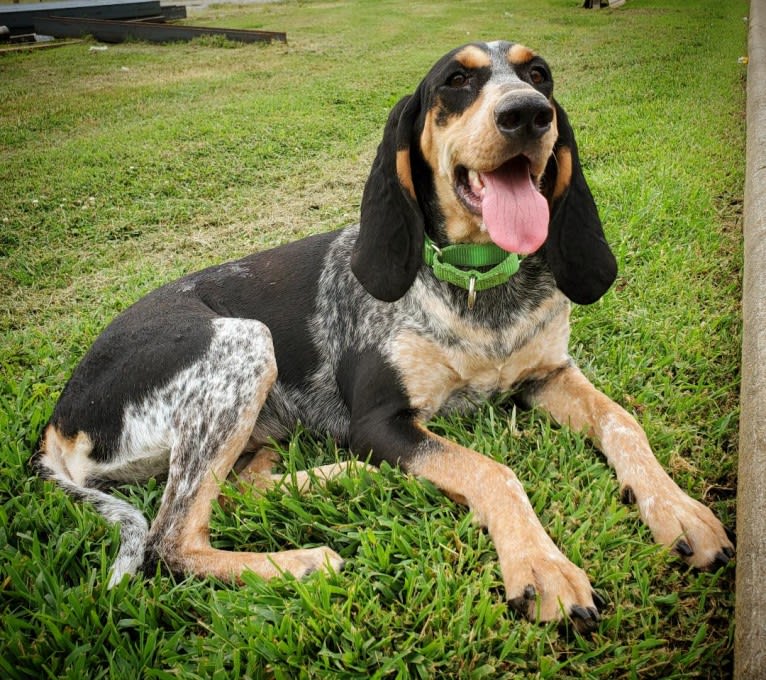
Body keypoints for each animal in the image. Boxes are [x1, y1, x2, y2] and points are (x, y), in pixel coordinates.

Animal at [34, 39, 736, 628]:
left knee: (238, 487)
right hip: (244, 343)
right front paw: (541, 566)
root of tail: (57, 421)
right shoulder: (379, 420)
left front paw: (679, 509)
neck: (480, 287)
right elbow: (493, 469)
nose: (529, 115)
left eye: (539, 74)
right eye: (457, 81)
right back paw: (301, 561)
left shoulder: (548, 375)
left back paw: (347, 476)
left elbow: (623, 421)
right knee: (170, 539)